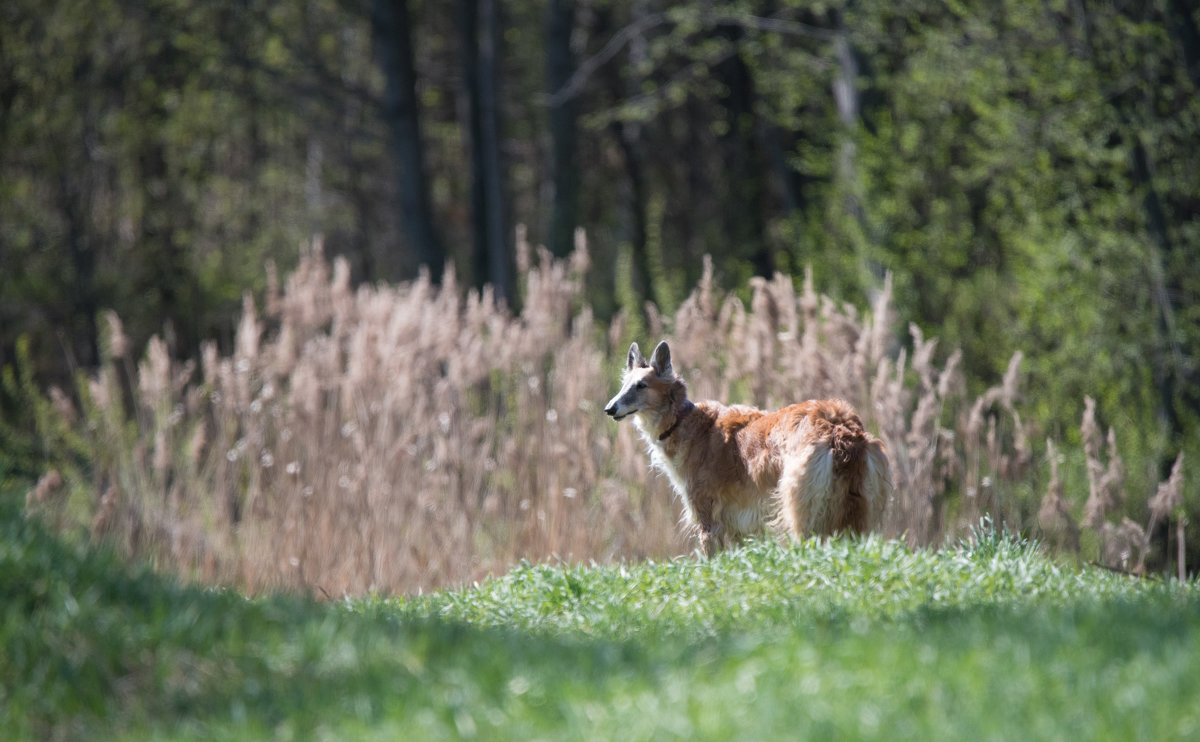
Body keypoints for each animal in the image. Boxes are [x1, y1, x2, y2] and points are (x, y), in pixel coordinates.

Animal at [604, 338, 888, 552]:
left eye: (641, 385)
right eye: (624, 385)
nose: (609, 409)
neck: (683, 421)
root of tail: (840, 430)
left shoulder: (708, 522)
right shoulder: (739, 528)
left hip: (802, 512)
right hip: (859, 515)